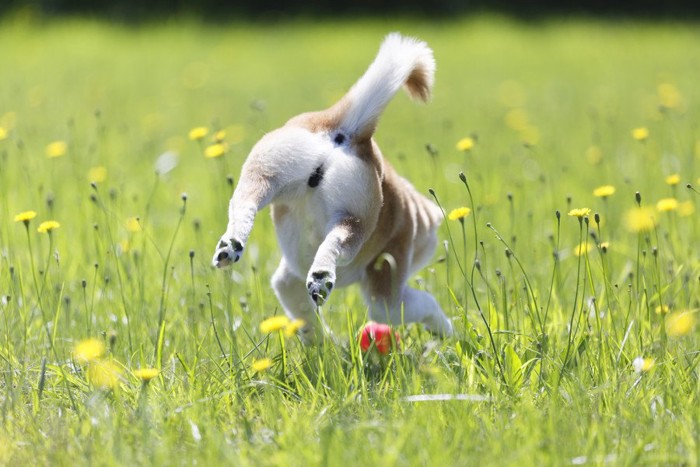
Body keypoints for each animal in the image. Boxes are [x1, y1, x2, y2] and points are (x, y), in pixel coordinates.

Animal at [213, 33, 452, 340]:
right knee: (339, 241)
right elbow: (421, 305)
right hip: (358, 218)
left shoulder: (288, 280)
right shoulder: (387, 291)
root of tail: (346, 131)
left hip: (269, 169)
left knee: (245, 202)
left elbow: (298, 305)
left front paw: (322, 342)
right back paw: (322, 275)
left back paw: (232, 243)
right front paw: (446, 329)